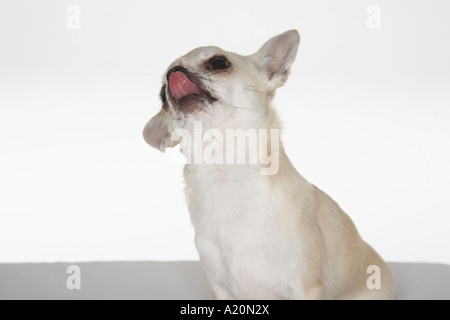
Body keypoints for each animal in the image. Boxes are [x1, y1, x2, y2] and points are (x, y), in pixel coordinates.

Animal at [143, 30, 394, 300]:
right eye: (161, 95)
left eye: (219, 63)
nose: (174, 73)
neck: (225, 171)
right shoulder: (221, 288)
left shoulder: (305, 287)